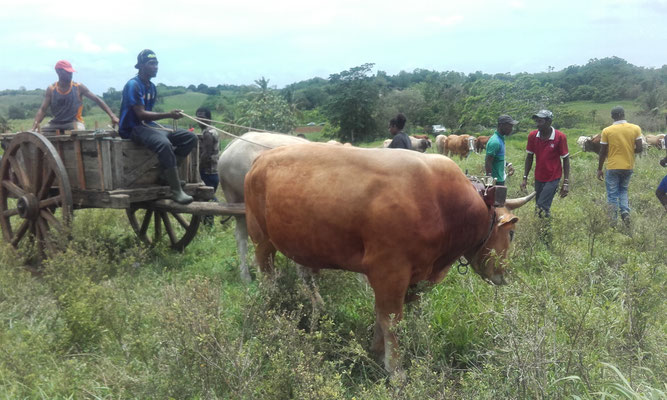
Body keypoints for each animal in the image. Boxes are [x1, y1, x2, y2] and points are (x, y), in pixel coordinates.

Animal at [243, 144, 536, 372]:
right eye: (511, 234)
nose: (504, 275)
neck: (443, 204)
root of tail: (262, 158)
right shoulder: (389, 272)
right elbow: (391, 321)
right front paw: (395, 370)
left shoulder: (410, 276)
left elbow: (380, 316)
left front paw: (376, 350)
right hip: (260, 239)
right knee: (267, 278)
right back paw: (271, 312)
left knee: (305, 278)